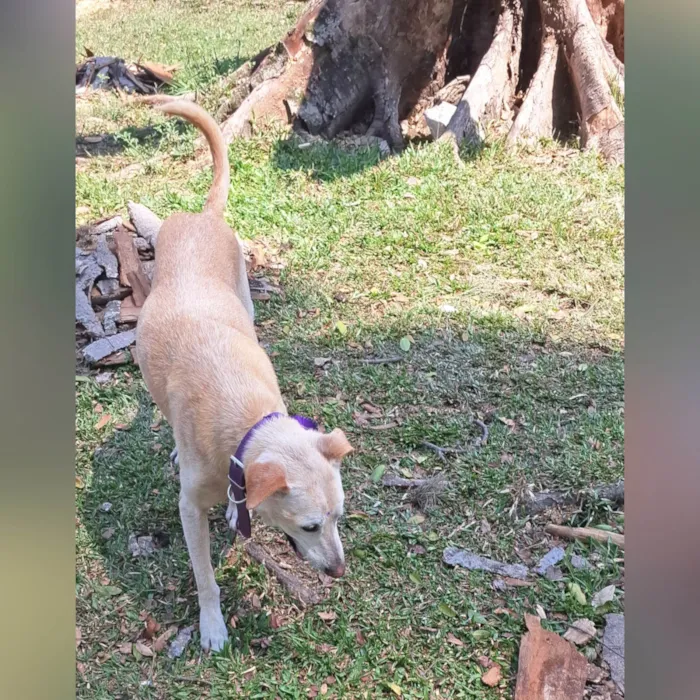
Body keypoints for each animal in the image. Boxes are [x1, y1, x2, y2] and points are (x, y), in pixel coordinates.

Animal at [136, 101, 352, 652]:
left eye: (339, 517)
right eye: (311, 525)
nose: (339, 571)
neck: (244, 419)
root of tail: (201, 215)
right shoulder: (190, 510)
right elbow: (205, 576)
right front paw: (212, 625)